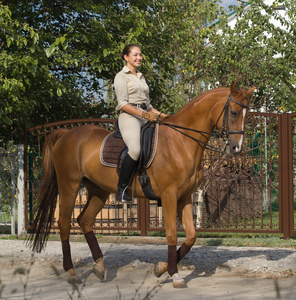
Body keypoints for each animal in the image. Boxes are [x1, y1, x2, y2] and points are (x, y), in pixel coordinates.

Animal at [27, 82, 254, 288]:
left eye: (247, 115)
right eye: (234, 112)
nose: (236, 148)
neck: (180, 141)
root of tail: (65, 134)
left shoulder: (184, 197)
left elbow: (191, 236)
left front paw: (161, 268)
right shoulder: (169, 196)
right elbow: (172, 234)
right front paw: (174, 274)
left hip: (99, 190)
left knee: (85, 221)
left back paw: (99, 267)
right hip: (69, 186)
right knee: (64, 224)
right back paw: (72, 272)